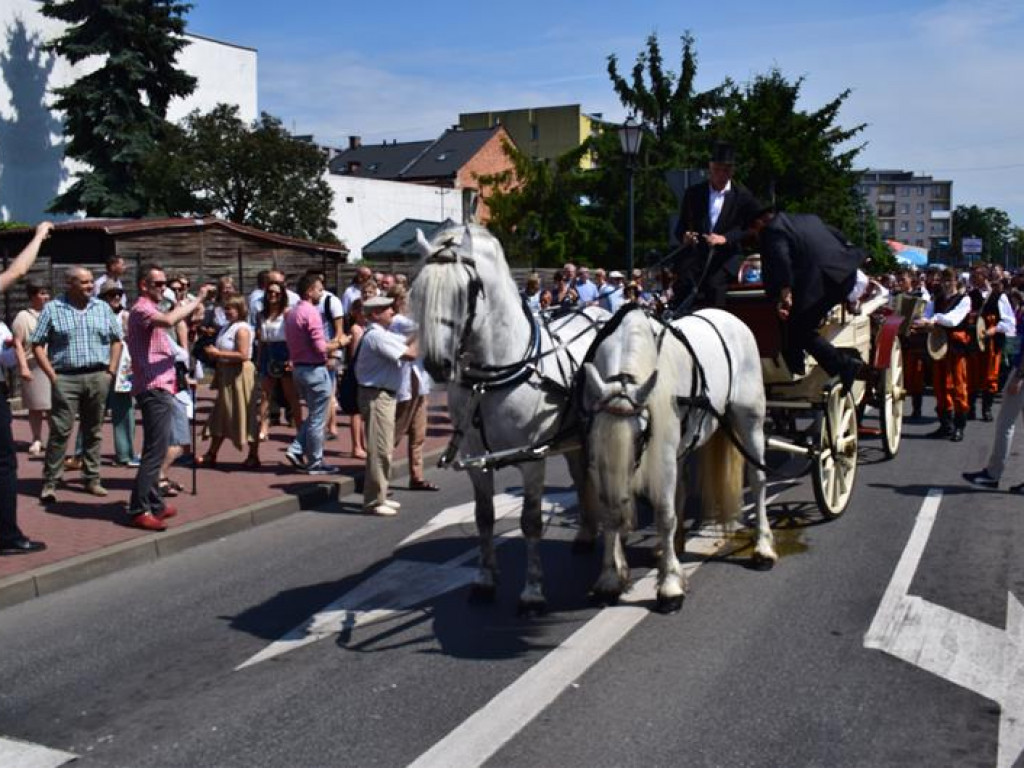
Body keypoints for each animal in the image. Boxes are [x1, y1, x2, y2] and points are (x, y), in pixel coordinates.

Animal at [409, 222, 606, 614]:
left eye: (467, 290)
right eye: (420, 288)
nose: (437, 365)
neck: (490, 378)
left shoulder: (532, 458)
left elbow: (530, 522)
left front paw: (532, 592)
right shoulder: (475, 459)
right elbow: (483, 517)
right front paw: (485, 581)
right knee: (581, 477)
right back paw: (586, 534)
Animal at [585, 303, 774, 610]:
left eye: (641, 437)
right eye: (597, 436)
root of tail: (727, 315)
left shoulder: (660, 454)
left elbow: (665, 516)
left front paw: (670, 585)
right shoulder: (601, 464)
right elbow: (611, 513)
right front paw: (610, 579)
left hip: (750, 420)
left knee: (758, 480)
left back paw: (763, 547)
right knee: (681, 487)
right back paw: (671, 546)